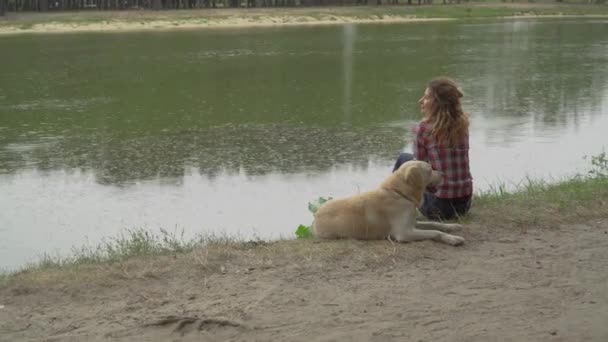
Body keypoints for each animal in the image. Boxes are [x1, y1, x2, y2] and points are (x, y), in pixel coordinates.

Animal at [314, 160, 466, 246]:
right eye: (429, 170)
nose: (443, 174)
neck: (399, 193)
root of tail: (315, 215)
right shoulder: (404, 233)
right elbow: (435, 232)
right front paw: (453, 239)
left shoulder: (412, 223)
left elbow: (435, 224)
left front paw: (452, 226)